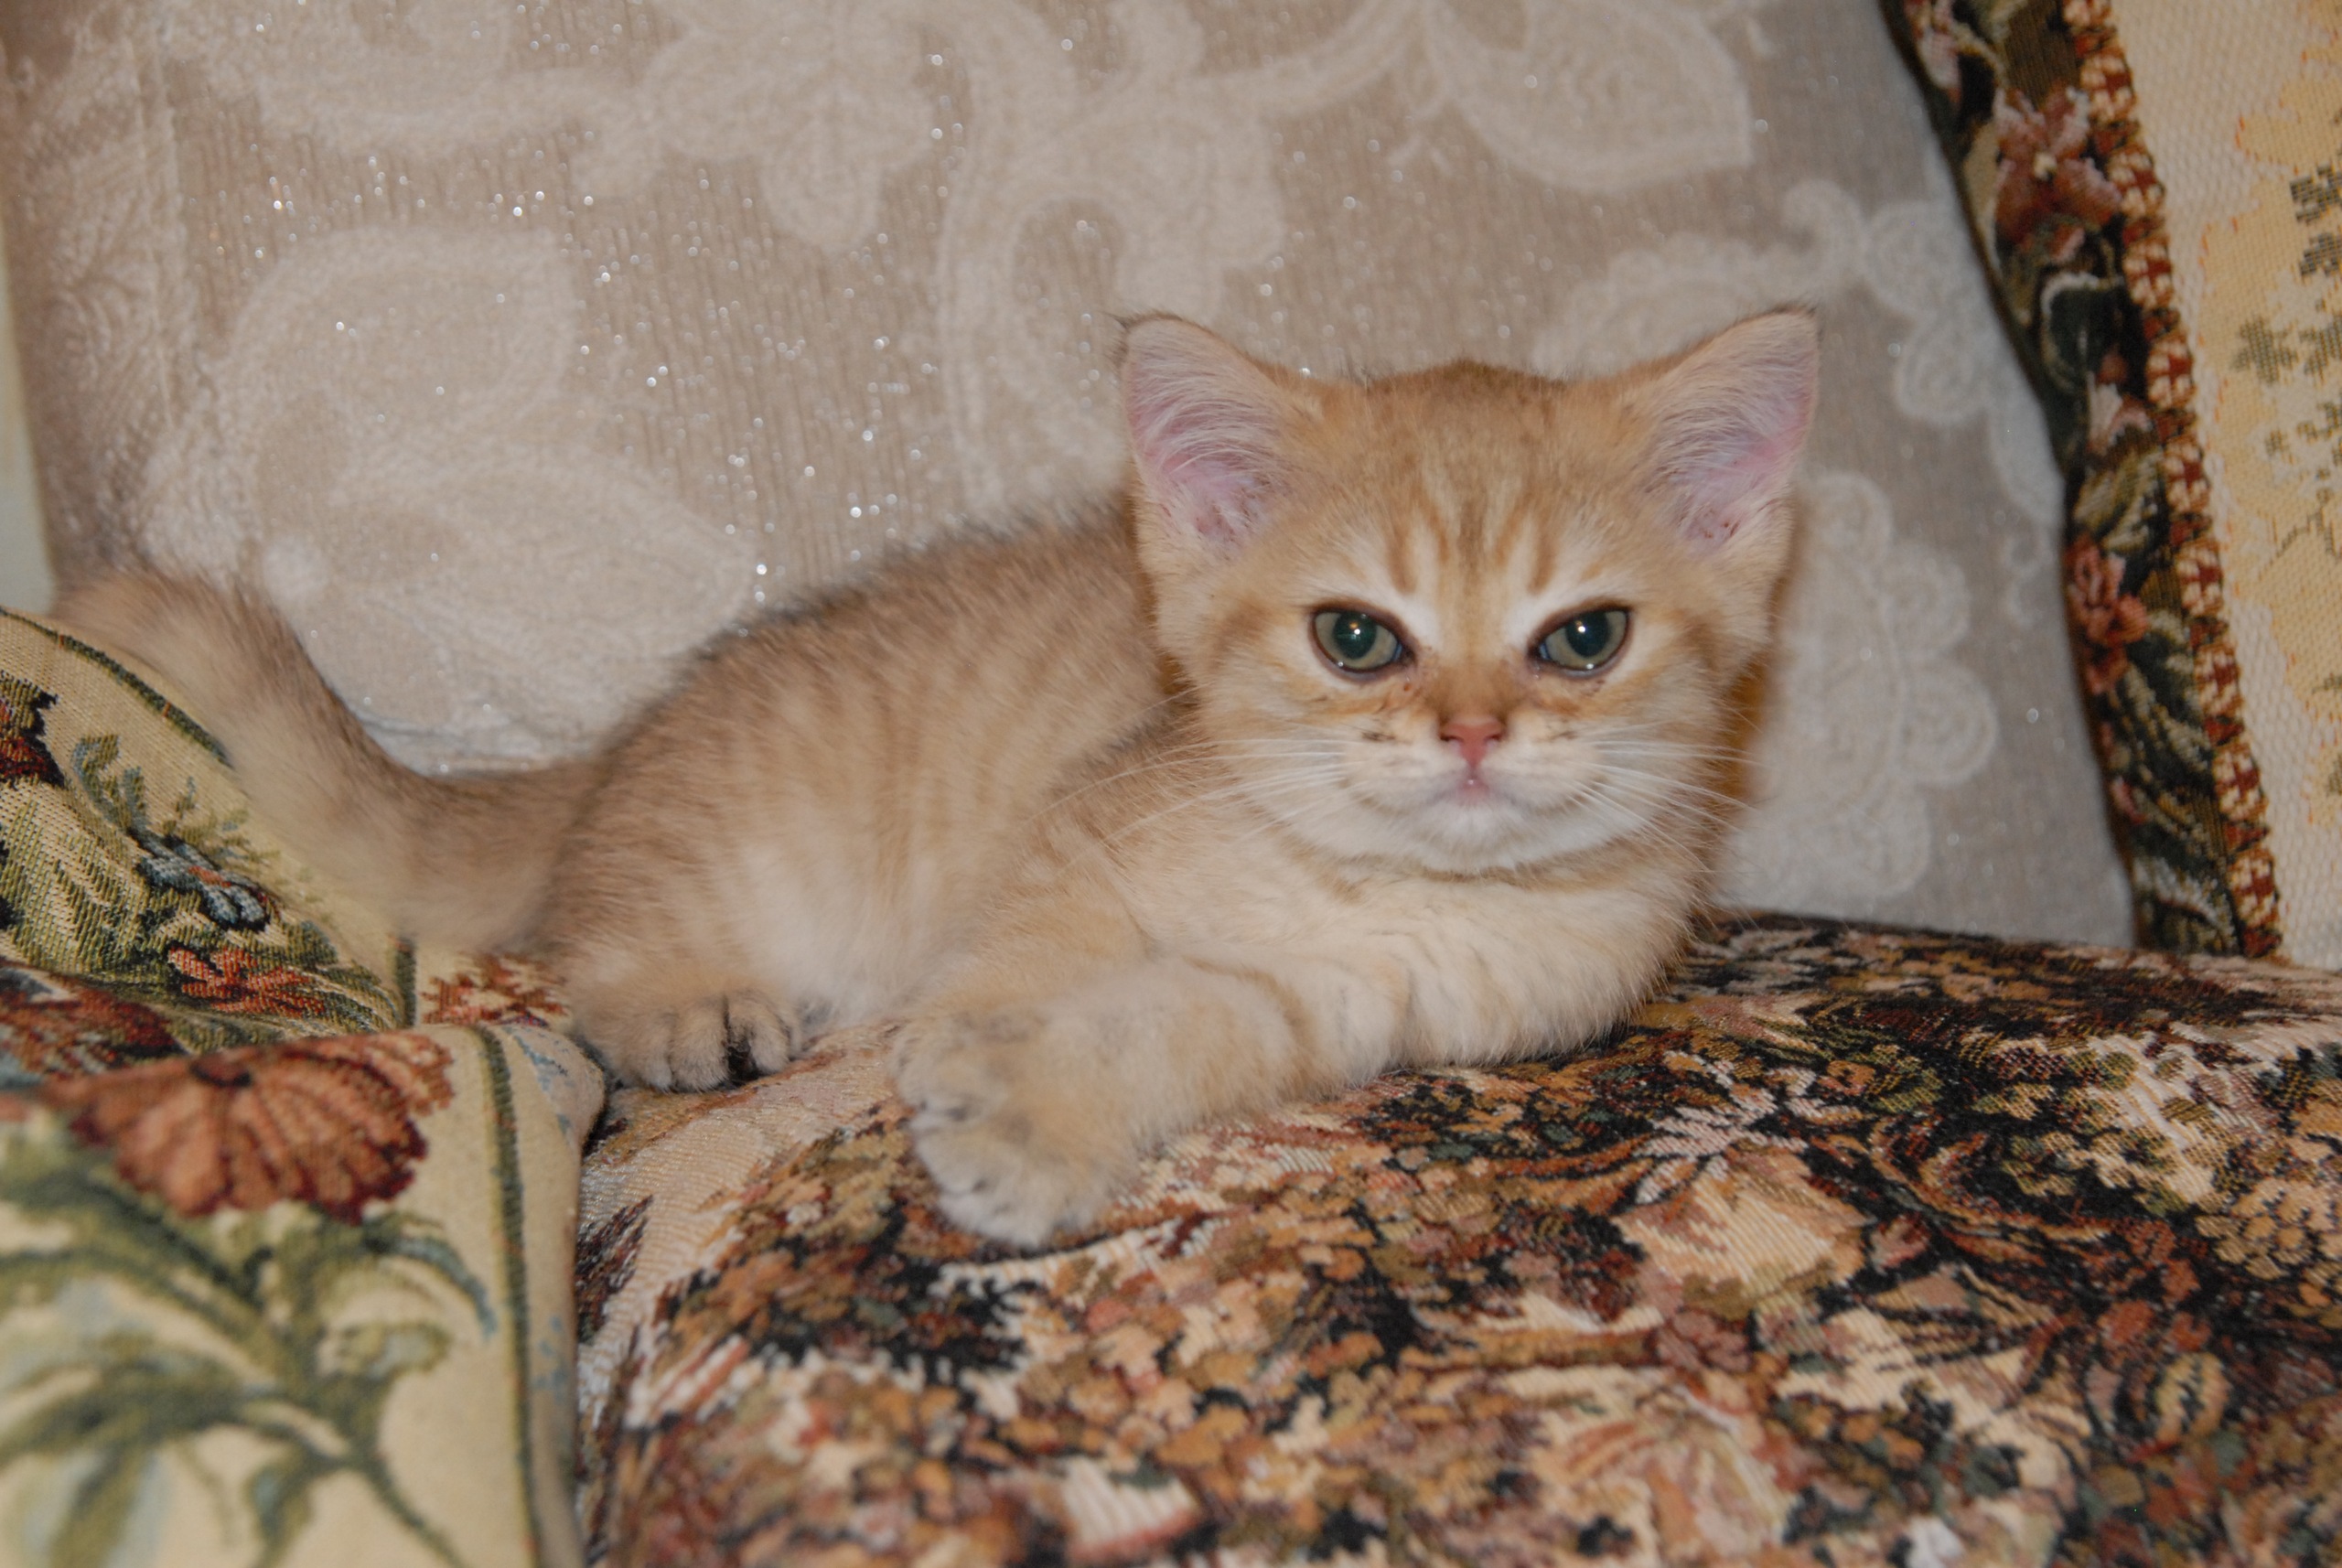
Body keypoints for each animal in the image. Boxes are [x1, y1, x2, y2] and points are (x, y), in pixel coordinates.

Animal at [55, 311, 1816, 1246]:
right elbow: (1026, 960)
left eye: (1582, 636)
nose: (1470, 735)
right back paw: (690, 1001)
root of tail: (620, 745)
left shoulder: (1362, 1007)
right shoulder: (1077, 838)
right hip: (744, 852)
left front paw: (1045, 1105)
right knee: (586, 955)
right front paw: (987, 1058)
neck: (1369, 884)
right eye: (1357, 637)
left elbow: (1186, 1020)